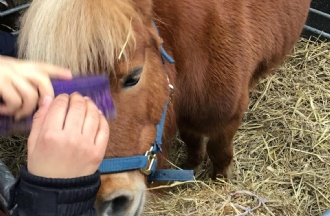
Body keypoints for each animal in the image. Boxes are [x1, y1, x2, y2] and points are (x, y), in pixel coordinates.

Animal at [18, 0, 310, 214]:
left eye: (133, 77)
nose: (105, 202)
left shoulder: (227, 120)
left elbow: (219, 153)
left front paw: (219, 182)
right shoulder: (184, 119)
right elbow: (193, 142)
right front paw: (191, 166)